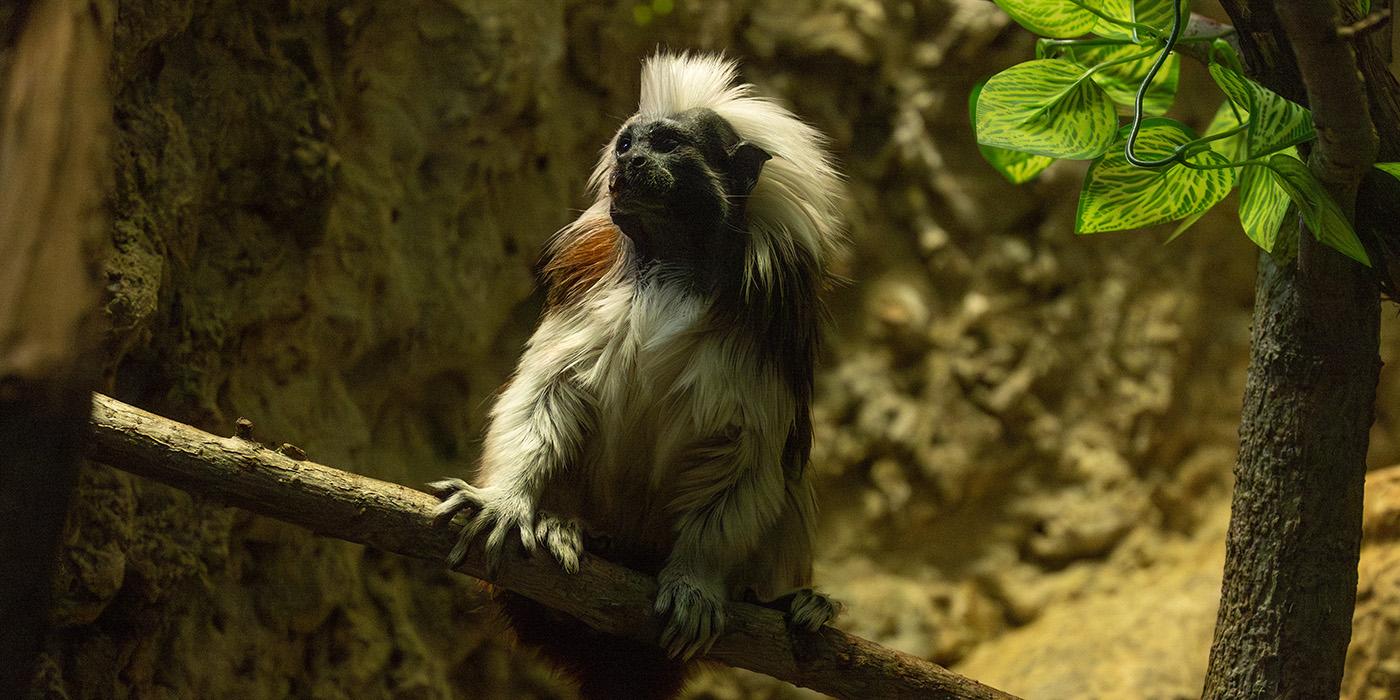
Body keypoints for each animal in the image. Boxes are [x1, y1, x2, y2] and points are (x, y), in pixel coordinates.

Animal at [425, 50, 840, 700]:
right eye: (626, 144)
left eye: (667, 144)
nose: (633, 162)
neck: (673, 264)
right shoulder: (585, 290)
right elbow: (546, 395)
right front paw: (509, 503)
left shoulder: (766, 335)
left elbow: (745, 458)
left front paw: (696, 581)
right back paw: (568, 533)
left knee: (789, 478)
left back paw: (791, 603)